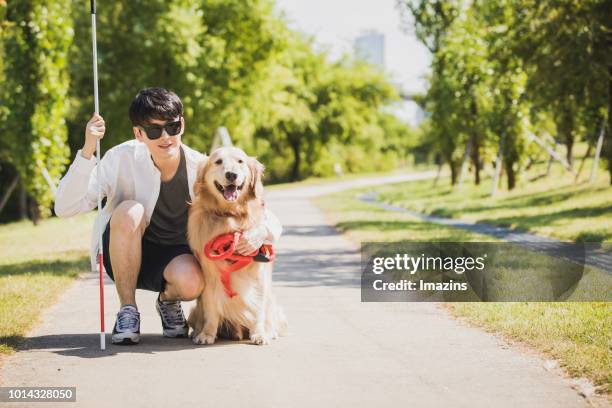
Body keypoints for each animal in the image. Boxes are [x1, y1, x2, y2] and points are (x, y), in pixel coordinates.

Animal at [186, 147, 286, 344]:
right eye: (218, 162)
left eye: (240, 161)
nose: (231, 175)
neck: (230, 215)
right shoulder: (209, 274)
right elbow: (211, 307)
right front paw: (207, 334)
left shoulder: (259, 273)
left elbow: (259, 306)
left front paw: (260, 334)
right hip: (195, 310)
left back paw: (269, 331)